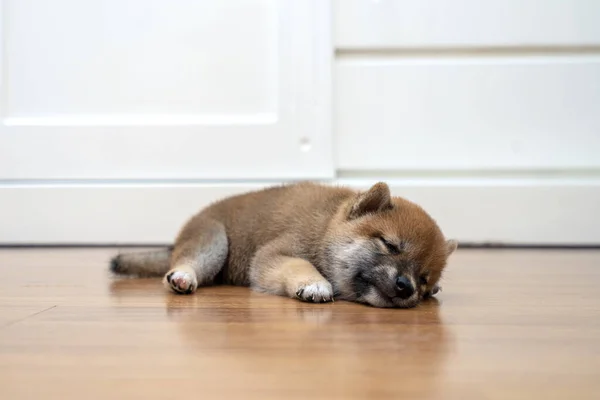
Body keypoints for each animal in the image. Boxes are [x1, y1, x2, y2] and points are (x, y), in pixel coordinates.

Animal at [110, 182, 458, 310]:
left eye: (424, 280)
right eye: (390, 245)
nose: (406, 286)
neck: (326, 227)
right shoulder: (275, 255)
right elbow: (299, 265)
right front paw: (314, 283)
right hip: (213, 240)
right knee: (187, 261)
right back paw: (183, 276)